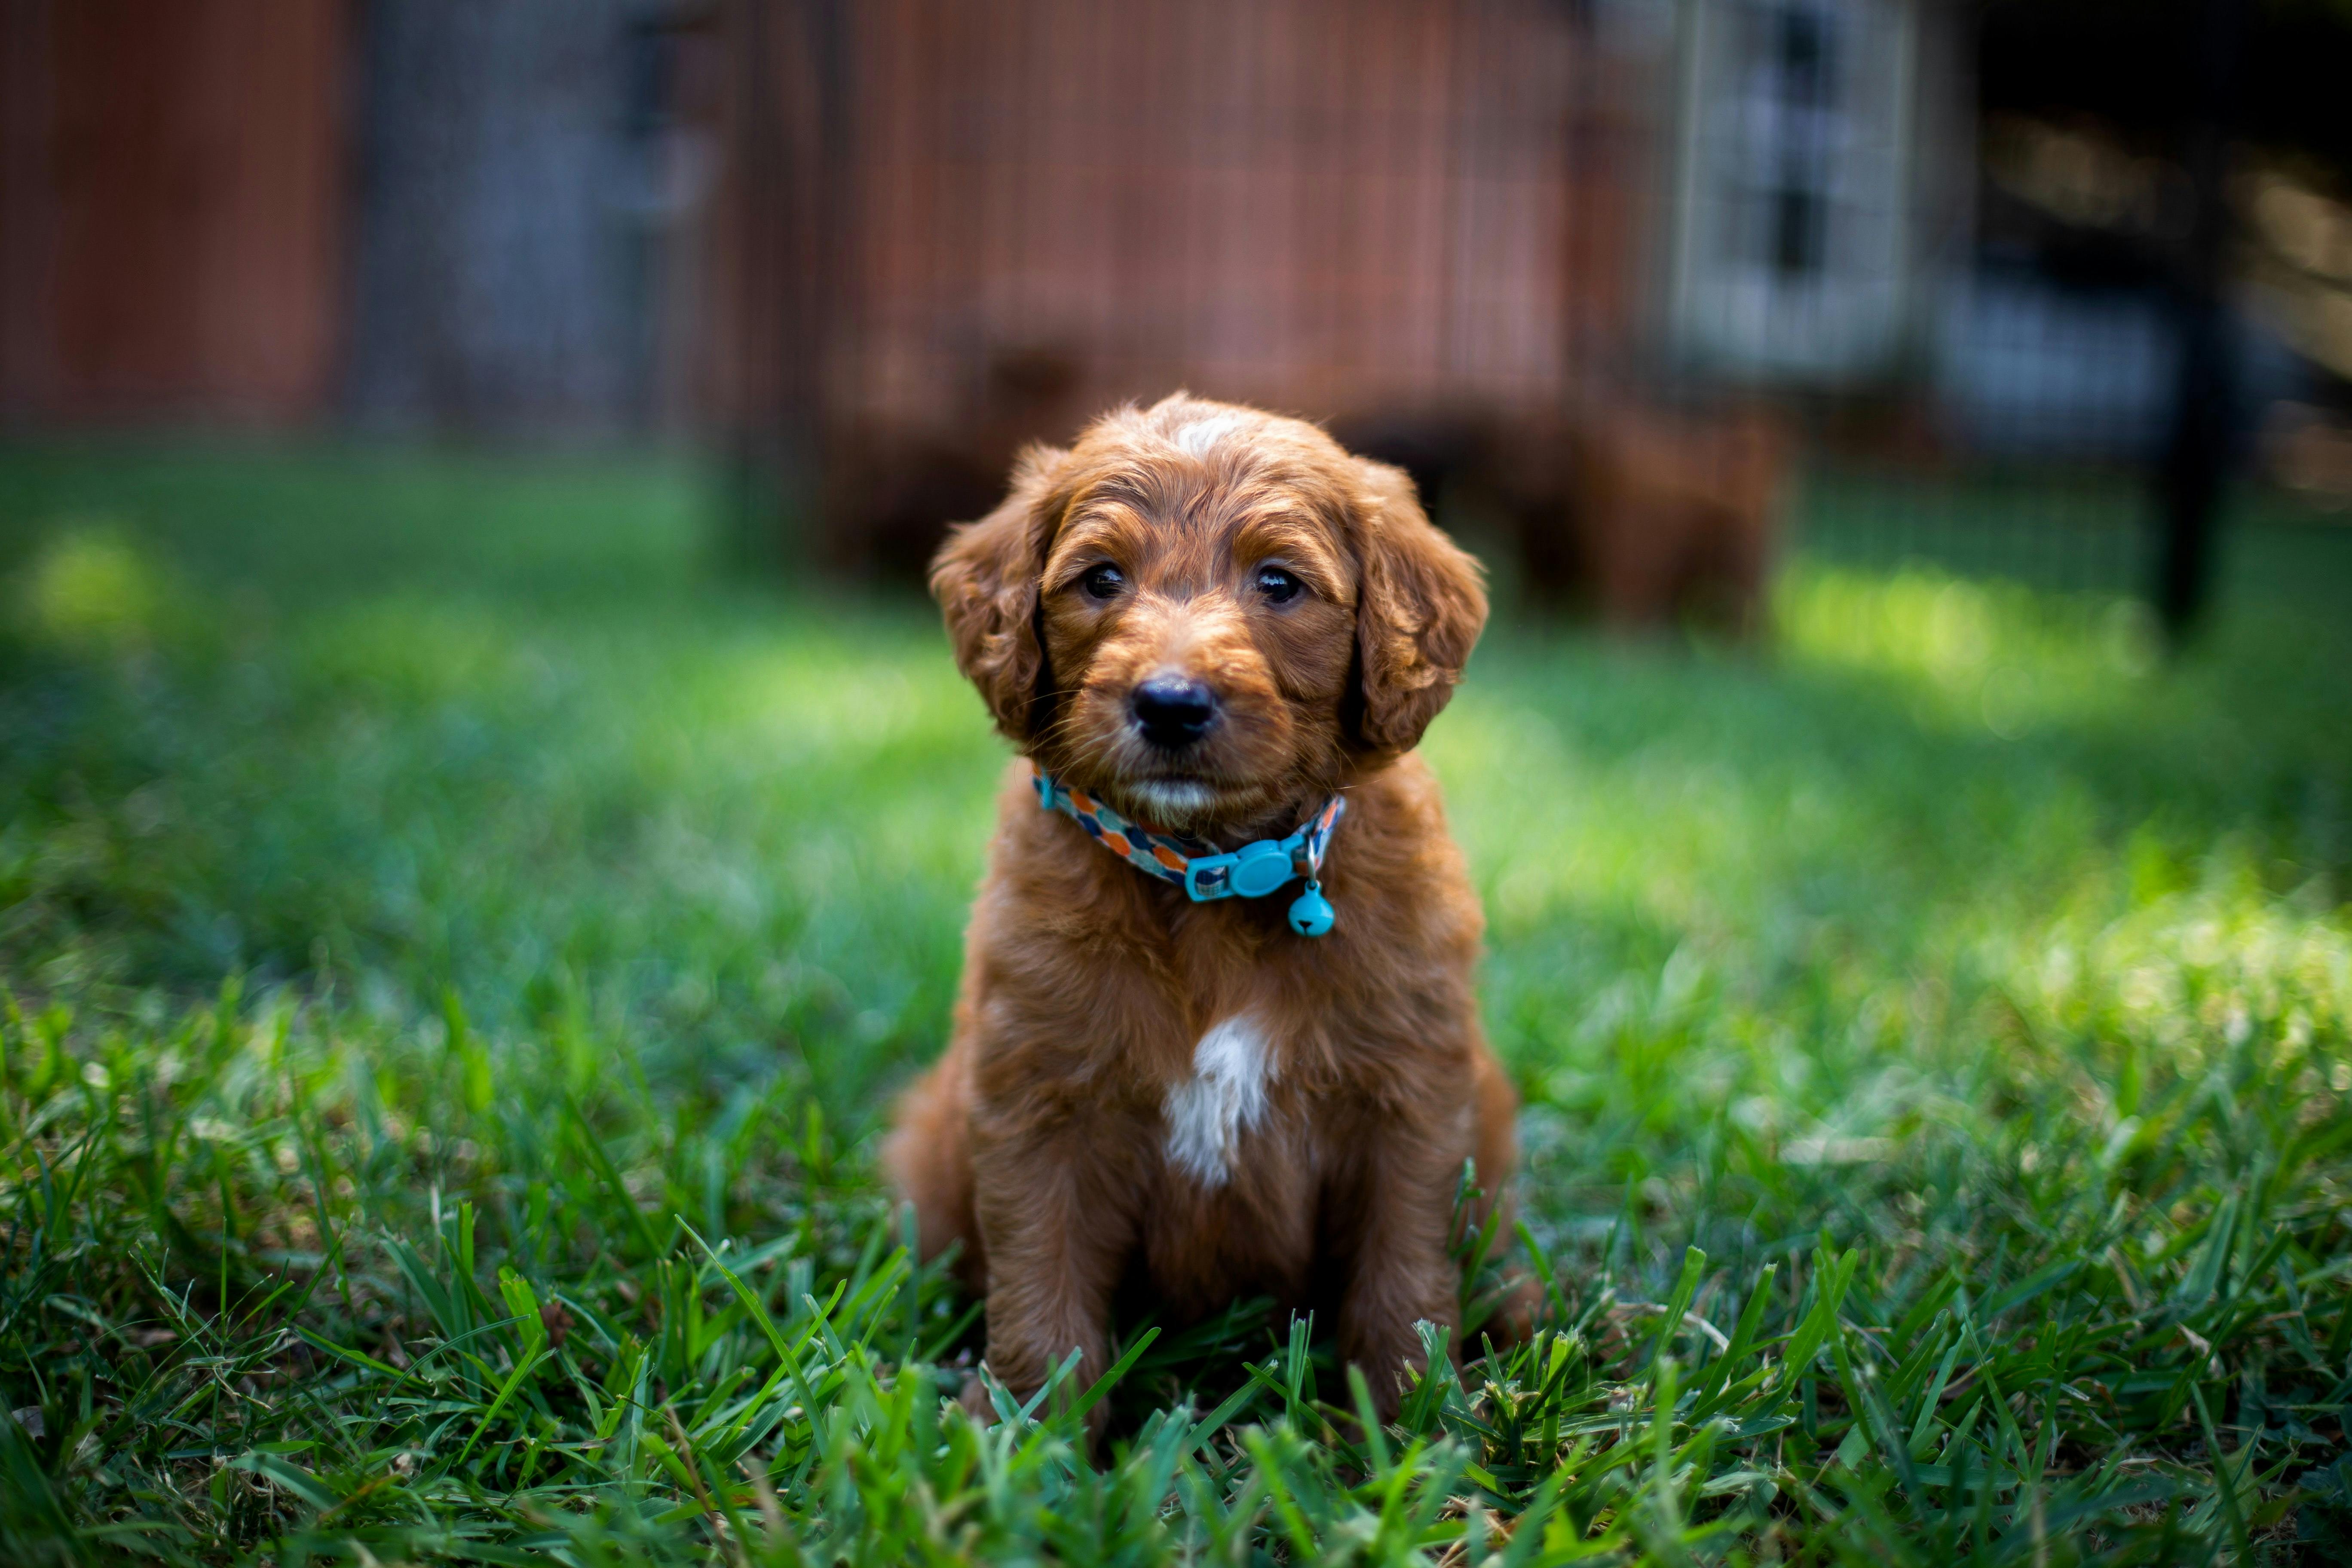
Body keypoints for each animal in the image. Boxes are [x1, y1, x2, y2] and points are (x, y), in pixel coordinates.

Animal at [879, 395, 1505, 1439]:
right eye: (1100, 578)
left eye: (1279, 583)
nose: (1169, 704)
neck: (1208, 873)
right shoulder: (1038, 1099)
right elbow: (1042, 1285)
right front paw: (1022, 1437)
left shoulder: (1410, 1099)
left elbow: (1403, 1274)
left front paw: (1414, 1427)